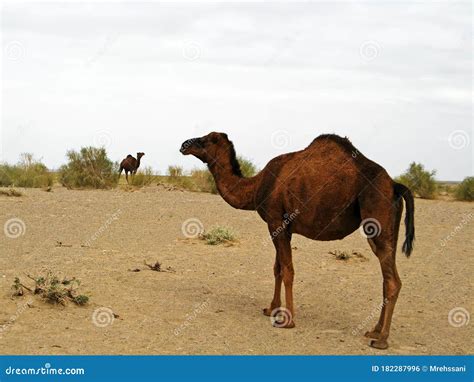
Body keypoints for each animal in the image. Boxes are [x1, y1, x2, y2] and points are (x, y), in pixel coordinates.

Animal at [181, 131, 414, 350]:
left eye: (206, 140)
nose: (184, 145)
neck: (257, 185)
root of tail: (395, 185)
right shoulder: (283, 227)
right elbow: (277, 268)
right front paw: (271, 309)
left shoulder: (275, 221)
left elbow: (287, 270)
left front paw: (287, 320)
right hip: (388, 229)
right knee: (387, 277)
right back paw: (374, 330)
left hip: (376, 219)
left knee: (392, 281)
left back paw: (381, 339)